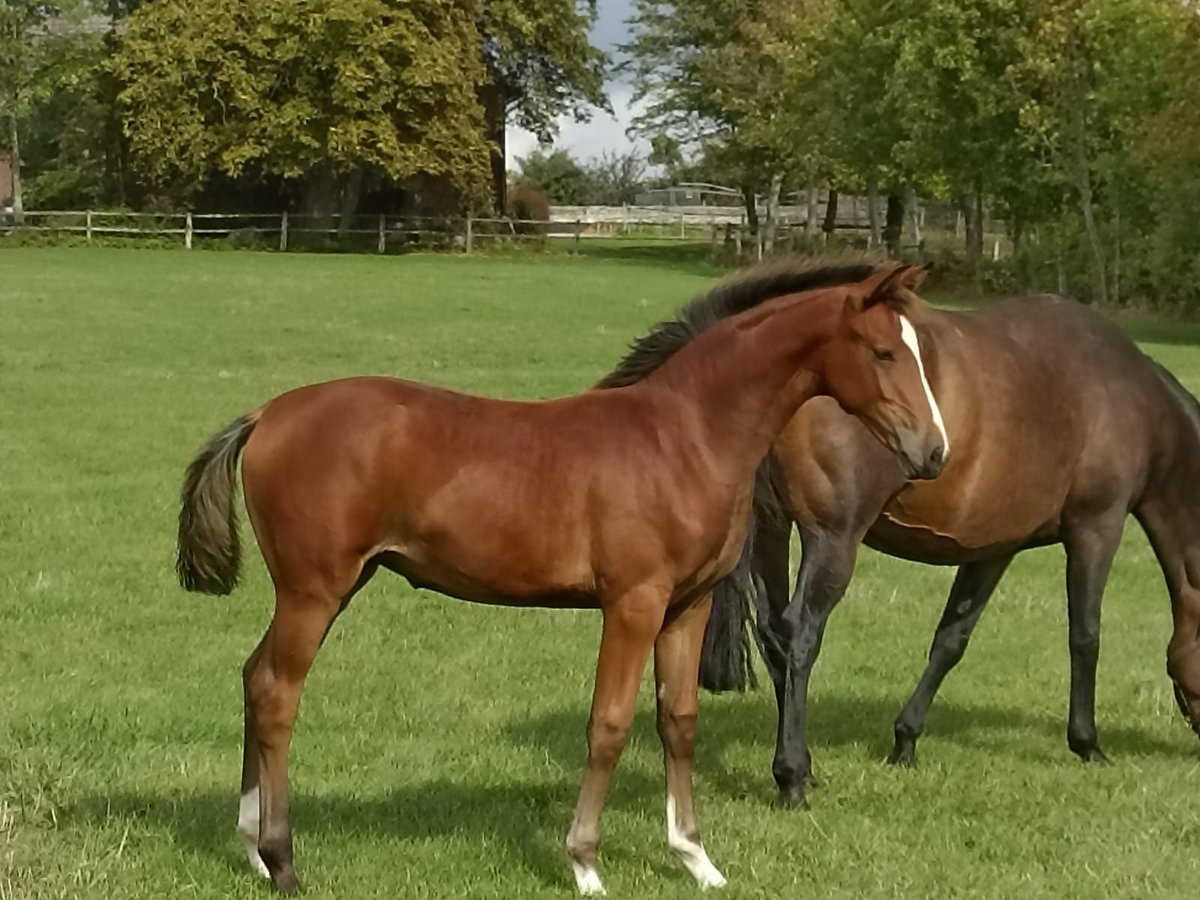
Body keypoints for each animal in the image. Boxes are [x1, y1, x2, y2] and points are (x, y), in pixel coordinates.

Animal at [175, 260, 945, 897]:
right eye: (884, 351)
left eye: (920, 352)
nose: (934, 452)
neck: (684, 437)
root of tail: (266, 415)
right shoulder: (632, 603)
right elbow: (609, 724)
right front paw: (585, 864)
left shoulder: (688, 606)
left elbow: (679, 720)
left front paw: (696, 859)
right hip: (315, 590)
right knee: (277, 693)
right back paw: (283, 862)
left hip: (330, 588)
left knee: (253, 676)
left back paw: (251, 851)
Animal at [700, 260, 1200, 811]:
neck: (1130, 397)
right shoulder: (1097, 526)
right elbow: (1085, 636)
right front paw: (1087, 743)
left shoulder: (993, 548)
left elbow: (951, 640)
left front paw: (905, 740)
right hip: (832, 540)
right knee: (801, 635)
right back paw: (791, 775)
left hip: (773, 530)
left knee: (774, 635)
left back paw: (803, 768)